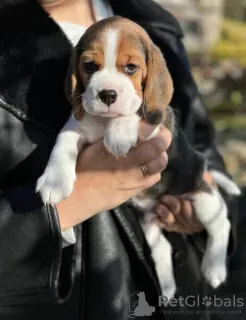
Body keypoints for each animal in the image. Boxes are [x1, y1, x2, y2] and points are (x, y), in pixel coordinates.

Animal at [36, 16, 231, 300]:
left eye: (130, 67)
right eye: (90, 66)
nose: (107, 95)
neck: (104, 122)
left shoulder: (158, 123)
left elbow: (135, 110)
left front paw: (118, 133)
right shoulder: (77, 126)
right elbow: (63, 143)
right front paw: (54, 181)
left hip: (201, 198)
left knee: (221, 222)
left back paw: (214, 268)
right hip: (149, 223)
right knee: (161, 249)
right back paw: (167, 287)